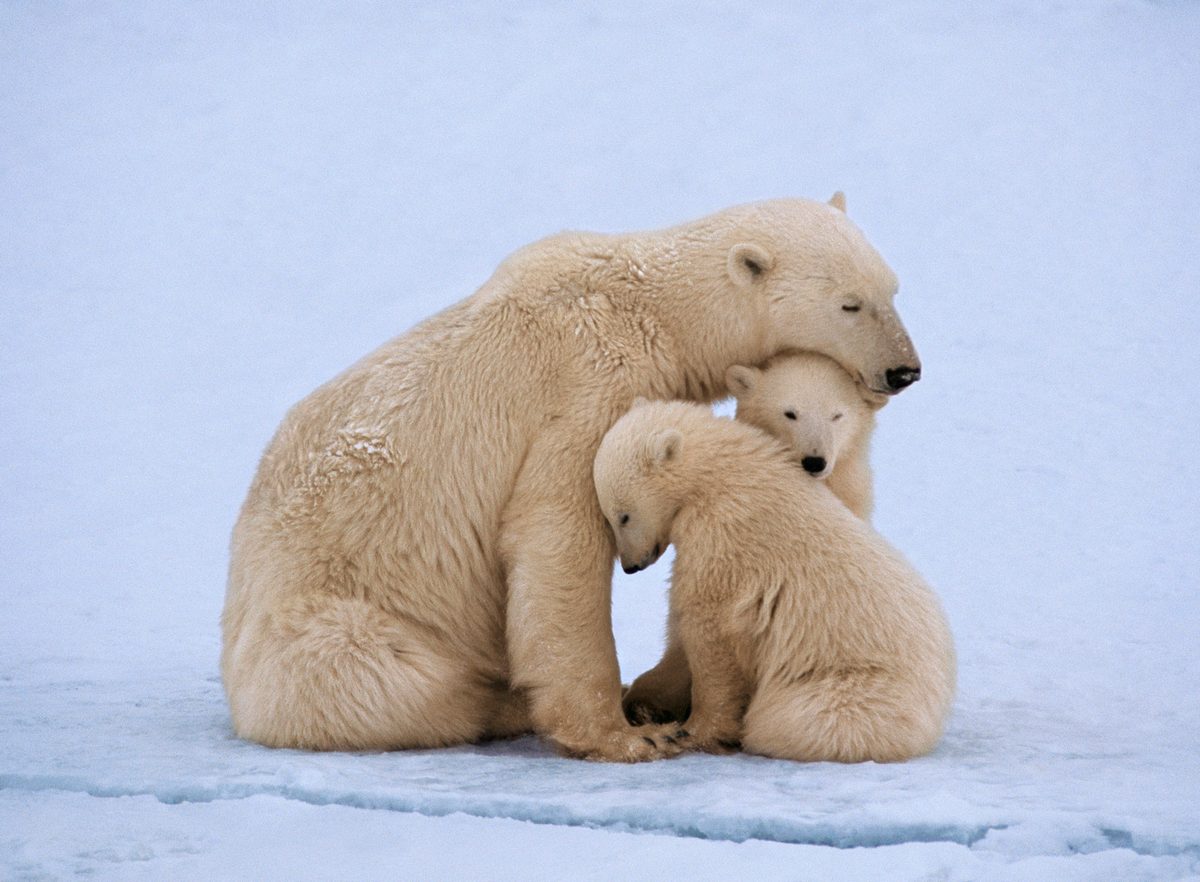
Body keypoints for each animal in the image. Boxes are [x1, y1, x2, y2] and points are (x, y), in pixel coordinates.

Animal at [595, 399, 955, 762]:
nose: (631, 566)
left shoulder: (725, 533)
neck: (721, 474)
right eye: (608, 516)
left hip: (857, 688)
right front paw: (645, 701)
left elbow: (709, 626)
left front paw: (693, 731)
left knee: (788, 719)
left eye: (623, 515)